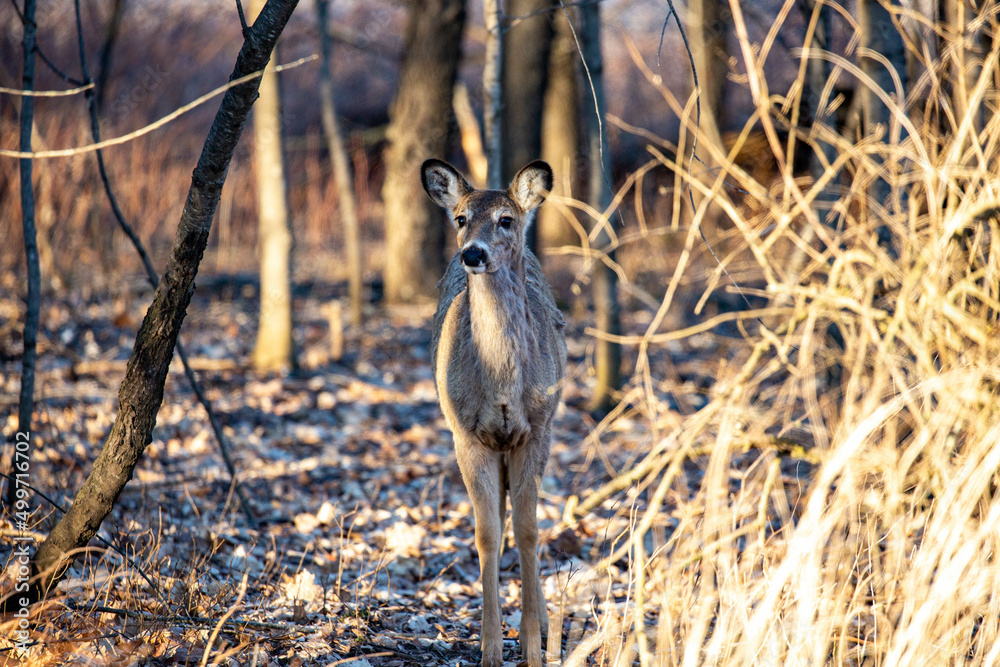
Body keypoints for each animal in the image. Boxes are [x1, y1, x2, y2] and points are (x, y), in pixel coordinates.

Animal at [421, 158, 567, 667]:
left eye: (506, 219)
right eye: (461, 218)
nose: (473, 253)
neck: (503, 388)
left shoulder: (538, 428)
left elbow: (529, 530)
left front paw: (532, 646)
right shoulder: (465, 434)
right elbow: (488, 533)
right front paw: (488, 648)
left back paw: (541, 627)